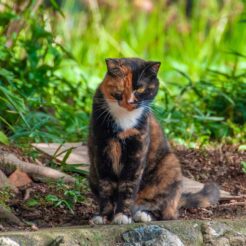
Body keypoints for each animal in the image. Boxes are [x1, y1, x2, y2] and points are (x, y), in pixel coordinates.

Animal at [88, 58, 219, 225]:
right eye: (120, 89)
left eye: (140, 89)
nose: (129, 102)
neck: (124, 119)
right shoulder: (102, 151)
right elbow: (106, 186)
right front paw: (103, 216)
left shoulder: (136, 152)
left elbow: (128, 185)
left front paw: (123, 215)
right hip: (92, 173)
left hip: (170, 165)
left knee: (167, 212)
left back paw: (144, 214)